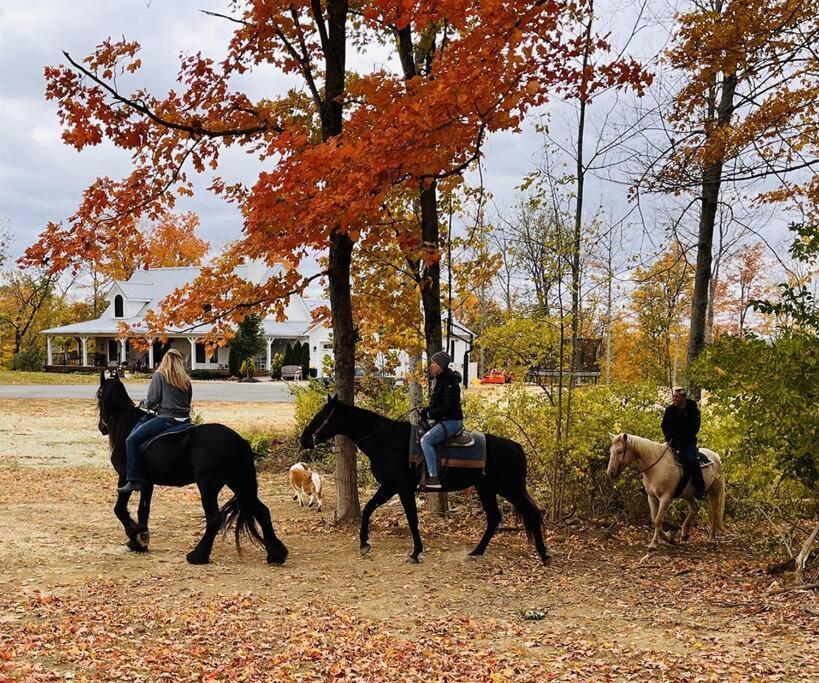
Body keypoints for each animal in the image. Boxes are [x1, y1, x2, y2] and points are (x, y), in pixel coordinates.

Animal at [95, 374, 288, 568]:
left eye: (99, 395)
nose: (101, 428)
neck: (128, 427)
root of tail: (240, 441)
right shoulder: (147, 483)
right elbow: (143, 511)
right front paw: (140, 540)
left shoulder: (125, 479)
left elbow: (119, 509)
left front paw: (136, 534)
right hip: (238, 483)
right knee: (262, 511)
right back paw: (276, 555)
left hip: (209, 485)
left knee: (214, 519)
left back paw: (198, 555)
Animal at [300, 396, 552, 568]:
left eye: (322, 415)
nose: (304, 439)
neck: (386, 440)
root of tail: (516, 447)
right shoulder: (390, 488)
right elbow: (370, 508)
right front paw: (364, 544)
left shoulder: (399, 488)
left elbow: (411, 518)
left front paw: (415, 552)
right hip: (487, 489)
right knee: (495, 518)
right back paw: (477, 551)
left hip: (510, 489)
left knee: (530, 513)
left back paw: (544, 554)